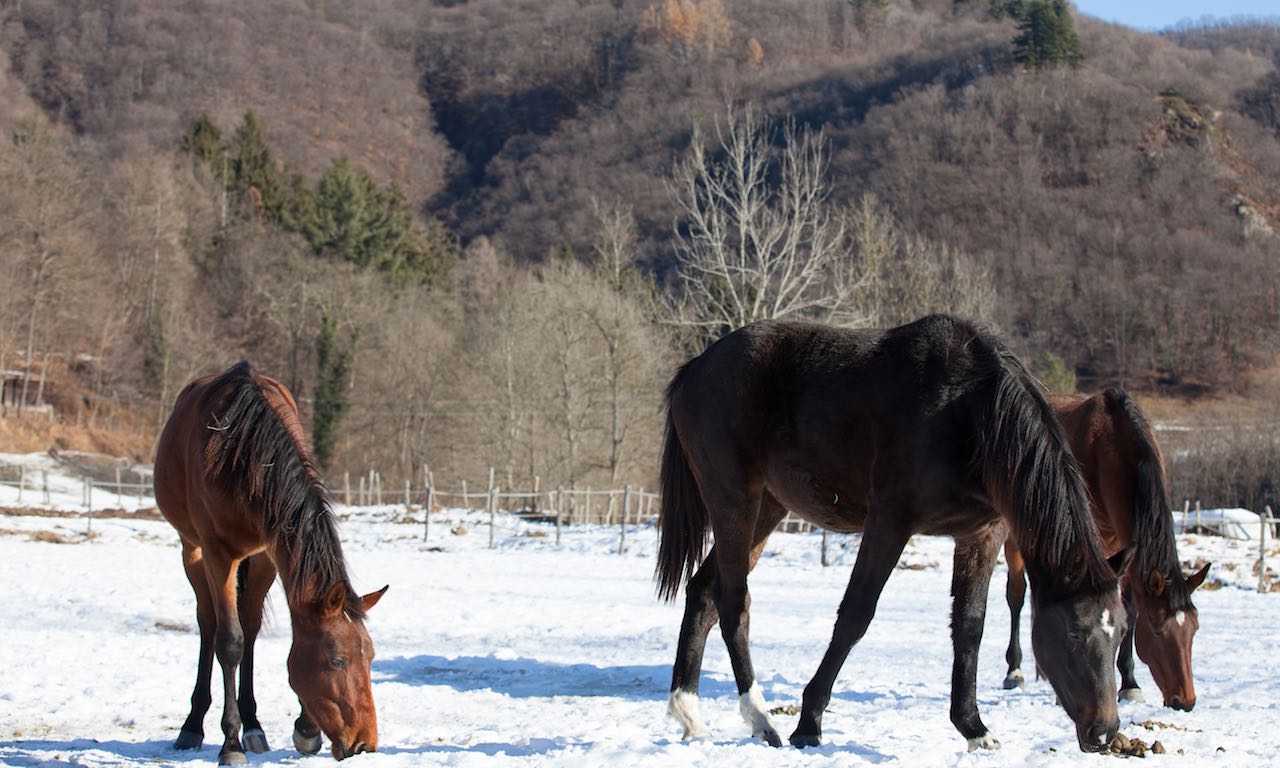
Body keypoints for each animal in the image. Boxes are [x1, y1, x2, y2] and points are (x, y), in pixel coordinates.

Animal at [154, 362, 387, 765]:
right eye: (337, 660)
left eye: (371, 657)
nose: (364, 744)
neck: (244, 455)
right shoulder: (217, 553)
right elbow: (229, 642)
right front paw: (230, 744)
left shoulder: (268, 554)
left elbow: (256, 631)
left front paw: (305, 730)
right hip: (191, 550)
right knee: (209, 623)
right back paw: (194, 725)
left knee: (248, 625)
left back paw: (253, 726)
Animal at [656, 316, 1132, 753]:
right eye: (1073, 632)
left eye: (1121, 633)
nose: (1105, 732)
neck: (965, 409)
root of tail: (695, 368)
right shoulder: (890, 522)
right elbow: (855, 615)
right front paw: (809, 723)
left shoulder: (982, 534)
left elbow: (970, 625)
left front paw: (973, 727)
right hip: (734, 500)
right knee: (734, 603)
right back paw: (761, 719)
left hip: (767, 509)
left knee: (703, 593)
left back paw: (690, 715)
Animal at [1001, 389, 1211, 709]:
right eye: (1157, 629)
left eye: (1194, 629)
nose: (1184, 700)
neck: (1111, 447)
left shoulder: (1126, 547)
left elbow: (1129, 608)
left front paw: (1129, 684)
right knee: (1016, 596)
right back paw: (1015, 671)